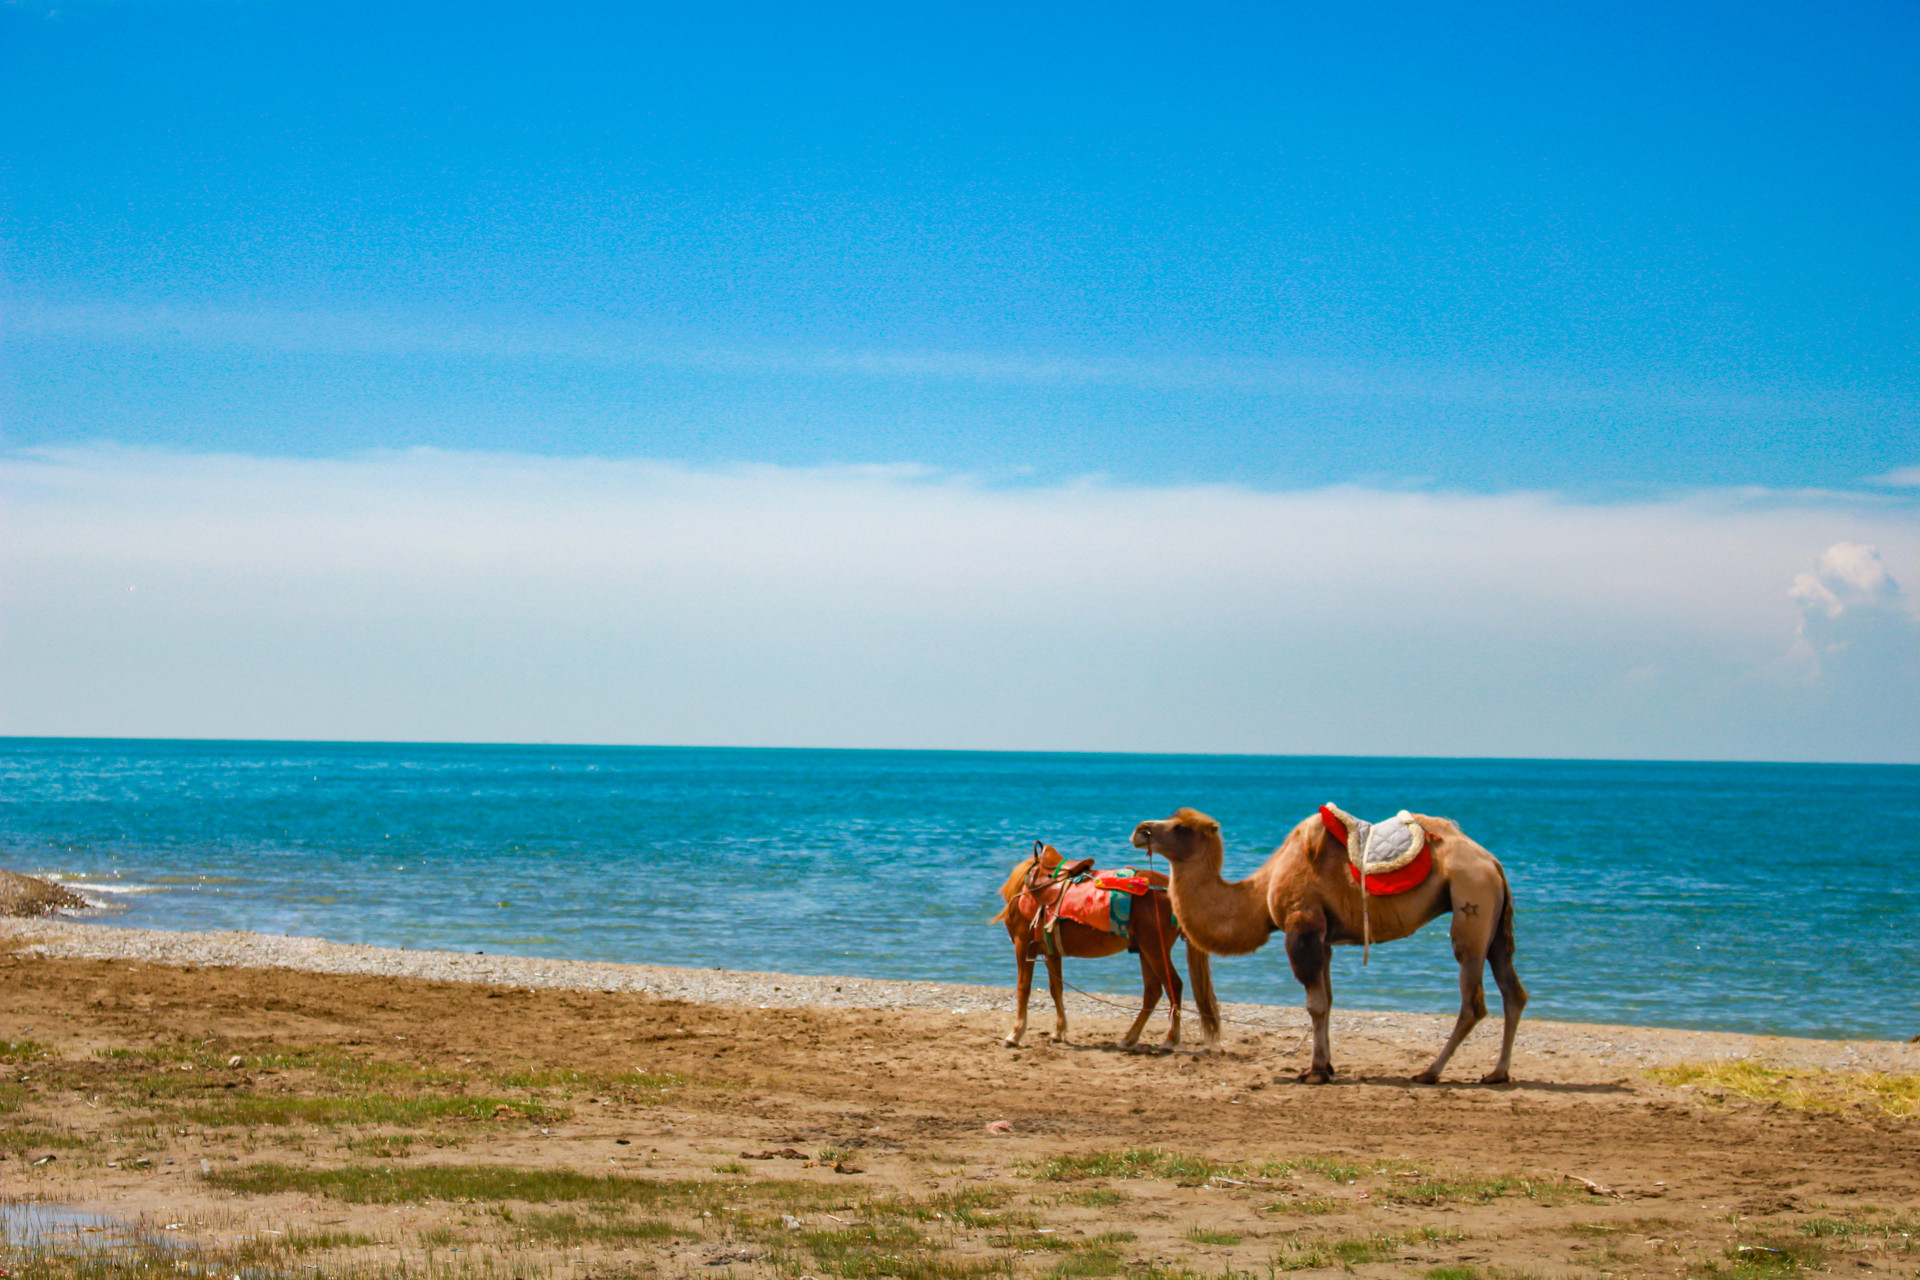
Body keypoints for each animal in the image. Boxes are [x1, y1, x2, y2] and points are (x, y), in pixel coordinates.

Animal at [998, 840, 1221, 1051]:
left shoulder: (1022, 945)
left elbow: (1023, 988)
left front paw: (1015, 1034)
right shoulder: (1052, 952)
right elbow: (1056, 989)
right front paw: (1059, 1032)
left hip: (1155, 949)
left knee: (1173, 986)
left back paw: (1170, 1040)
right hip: (1145, 950)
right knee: (1152, 991)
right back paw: (1129, 1038)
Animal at [1128, 805, 1520, 1090]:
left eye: (1181, 828)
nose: (1141, 829)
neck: (1260, 892)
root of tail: (1493, 863)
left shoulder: (1303, 927)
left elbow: (1314, 1005)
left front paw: (1315, 1070)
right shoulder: (1325, 938)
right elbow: (1328, 1002)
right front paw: (1328, 1065)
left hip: (1471, 902)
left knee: (1473, 1001)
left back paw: (1430, 1072)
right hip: (1494, 922)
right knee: (1512, 991)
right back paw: (1497, 1073)